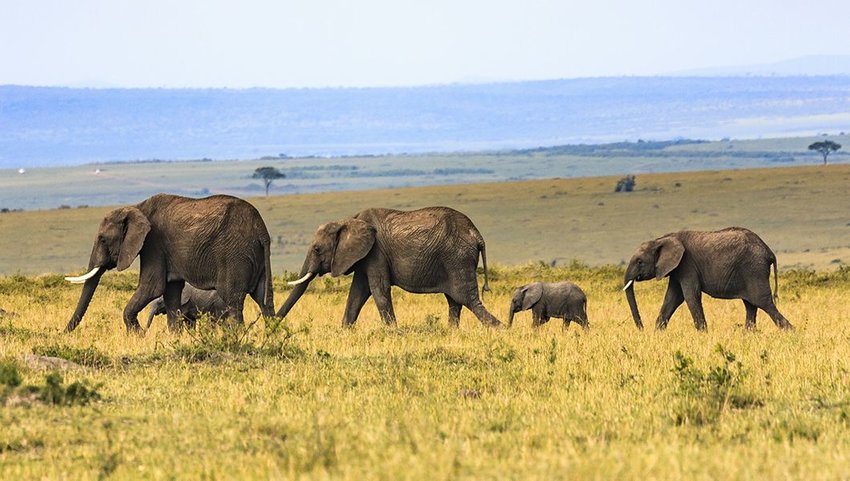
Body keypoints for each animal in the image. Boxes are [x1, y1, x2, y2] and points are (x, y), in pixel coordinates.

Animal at [63, 193, 274, 332]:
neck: (137, 208)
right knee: (265, 299)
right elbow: (171, 293)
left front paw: (138, 336)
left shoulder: (153, 243)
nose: (64, 333)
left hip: (234, 255)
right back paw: (272, 337)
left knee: (233, 300)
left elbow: (152, 287)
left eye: (103, 240)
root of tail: (261, 230)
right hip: (256, 257)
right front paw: (175, 338)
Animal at [274, 204, 500, 328]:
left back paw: (500, 329)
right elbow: (357, 293)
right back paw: (452, 332)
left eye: (317, 249)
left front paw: (393, 332)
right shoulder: (364, 257)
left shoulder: (376, 253)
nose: (271, 327)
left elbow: (378, 290)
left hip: (457, 259)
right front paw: (344, 331)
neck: (348, 220)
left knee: (467, 299)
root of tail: (477, 235)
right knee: (455, 302)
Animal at [620, 226, 792, 330]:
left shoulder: (687, 264)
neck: (662, 239)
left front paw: (703, 334)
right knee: (751, 305)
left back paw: (790, 332)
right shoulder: (677, 269)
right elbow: (672, 298)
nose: (641, 329)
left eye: (640, 262)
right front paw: (657, 334)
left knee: (763, 302)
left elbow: (690, 296)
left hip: (754, 270)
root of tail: (769, 251)